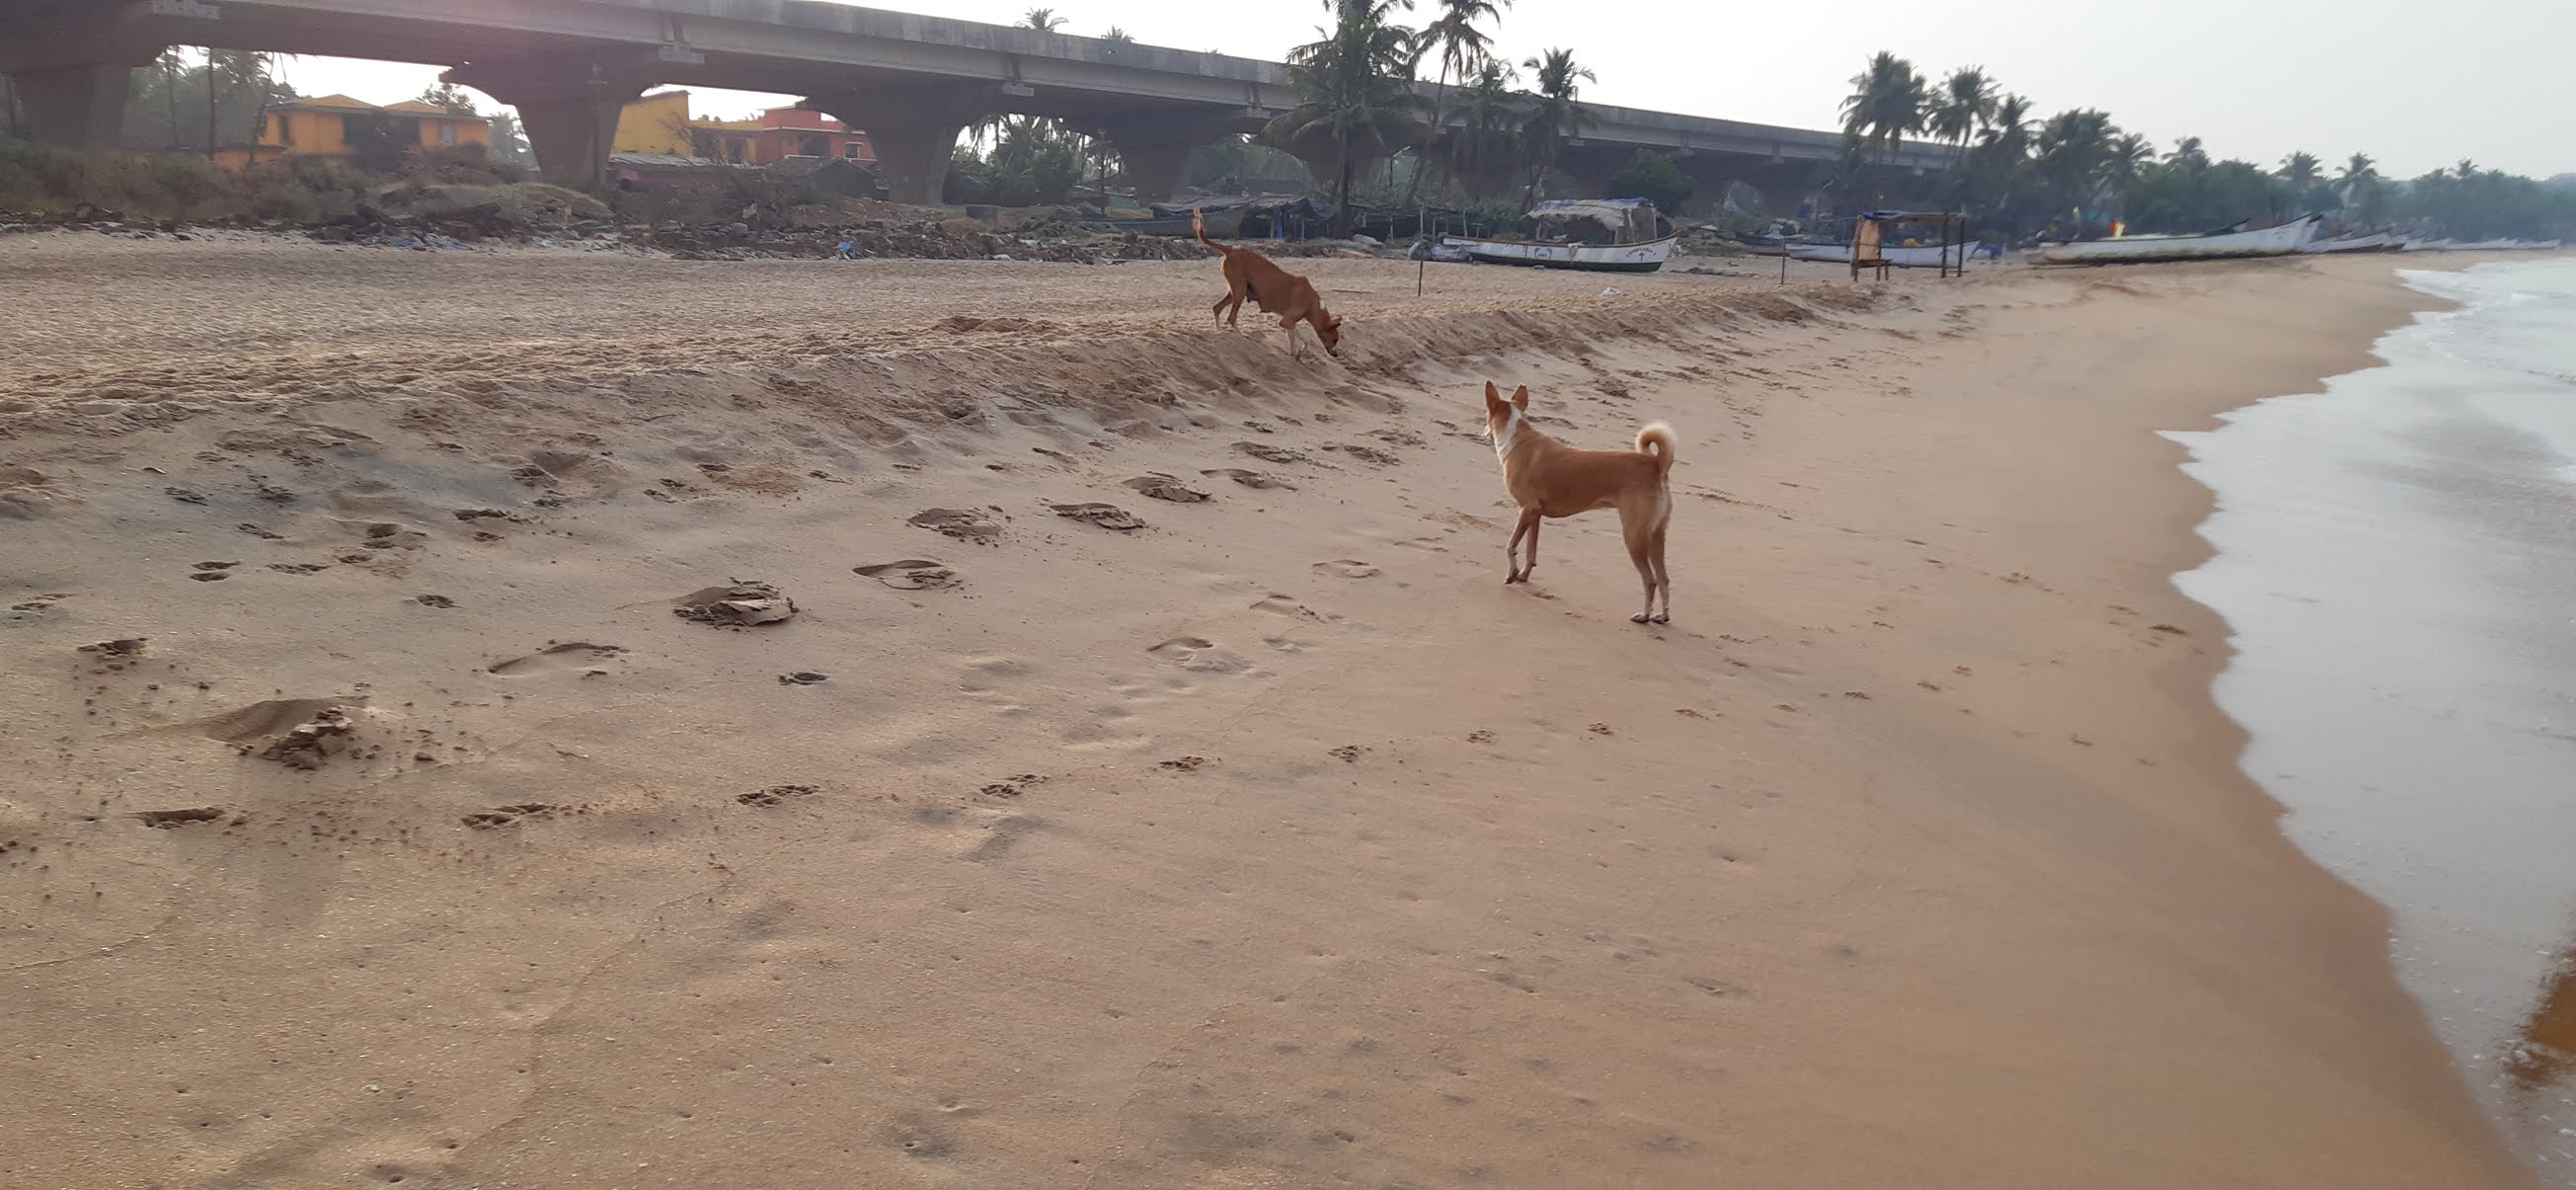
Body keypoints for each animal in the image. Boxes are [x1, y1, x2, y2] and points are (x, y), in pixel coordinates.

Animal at [1196, 208, 1342, 359]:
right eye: (1335, 339)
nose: (1336, 354)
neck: (1313, 303)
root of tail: (1231, 250)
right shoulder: (1286, 321)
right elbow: (1305, 341)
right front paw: (1300, 351)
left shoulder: (1288, 323)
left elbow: (1292, 340)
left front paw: (1294, 354)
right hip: (1240, 291)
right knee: (1231, 318)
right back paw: (1241, 334)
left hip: (1235, 291)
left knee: (1217, 308)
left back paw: (1219, 331)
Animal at [1482, 381, 1677, 624]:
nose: (1483, 432)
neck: (1517, 438)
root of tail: (1656, 464)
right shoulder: (1535, 514)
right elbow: (1530, 551)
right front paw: (1524, 575)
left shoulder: (1526, 509)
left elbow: (1511, 545)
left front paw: (1511, 574)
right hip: (1656, 535)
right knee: (1664, 578)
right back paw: (1662, 615)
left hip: (1634, 535)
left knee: (1650, 579)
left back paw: (1645, 615)